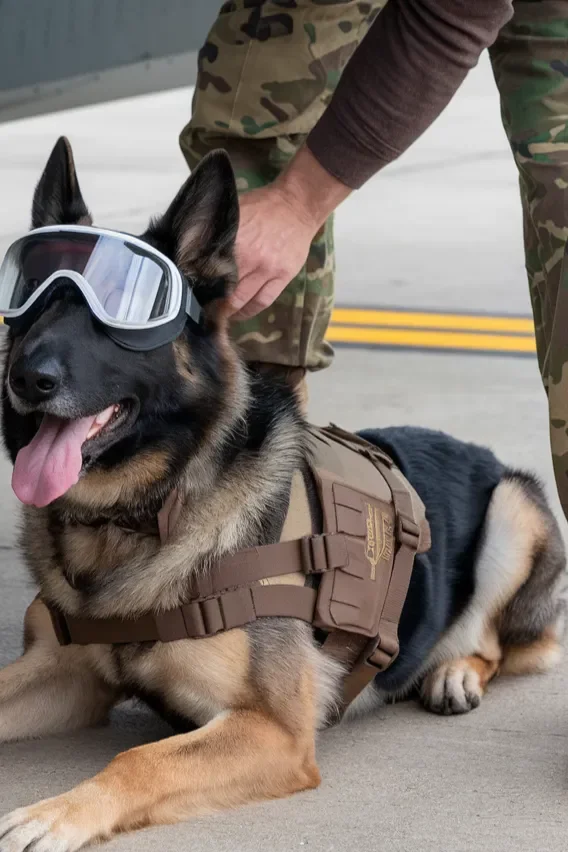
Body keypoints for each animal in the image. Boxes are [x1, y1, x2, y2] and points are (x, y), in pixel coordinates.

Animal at [0, 136, 564, 848]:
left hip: (514, 506)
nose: (25, 378)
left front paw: (54, 813)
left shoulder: (274, 732)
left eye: (119, 315)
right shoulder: (67, 675)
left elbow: (138, 759)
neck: (137, 519)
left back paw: (454, 670)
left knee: (501, 641)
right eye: (33, 299)